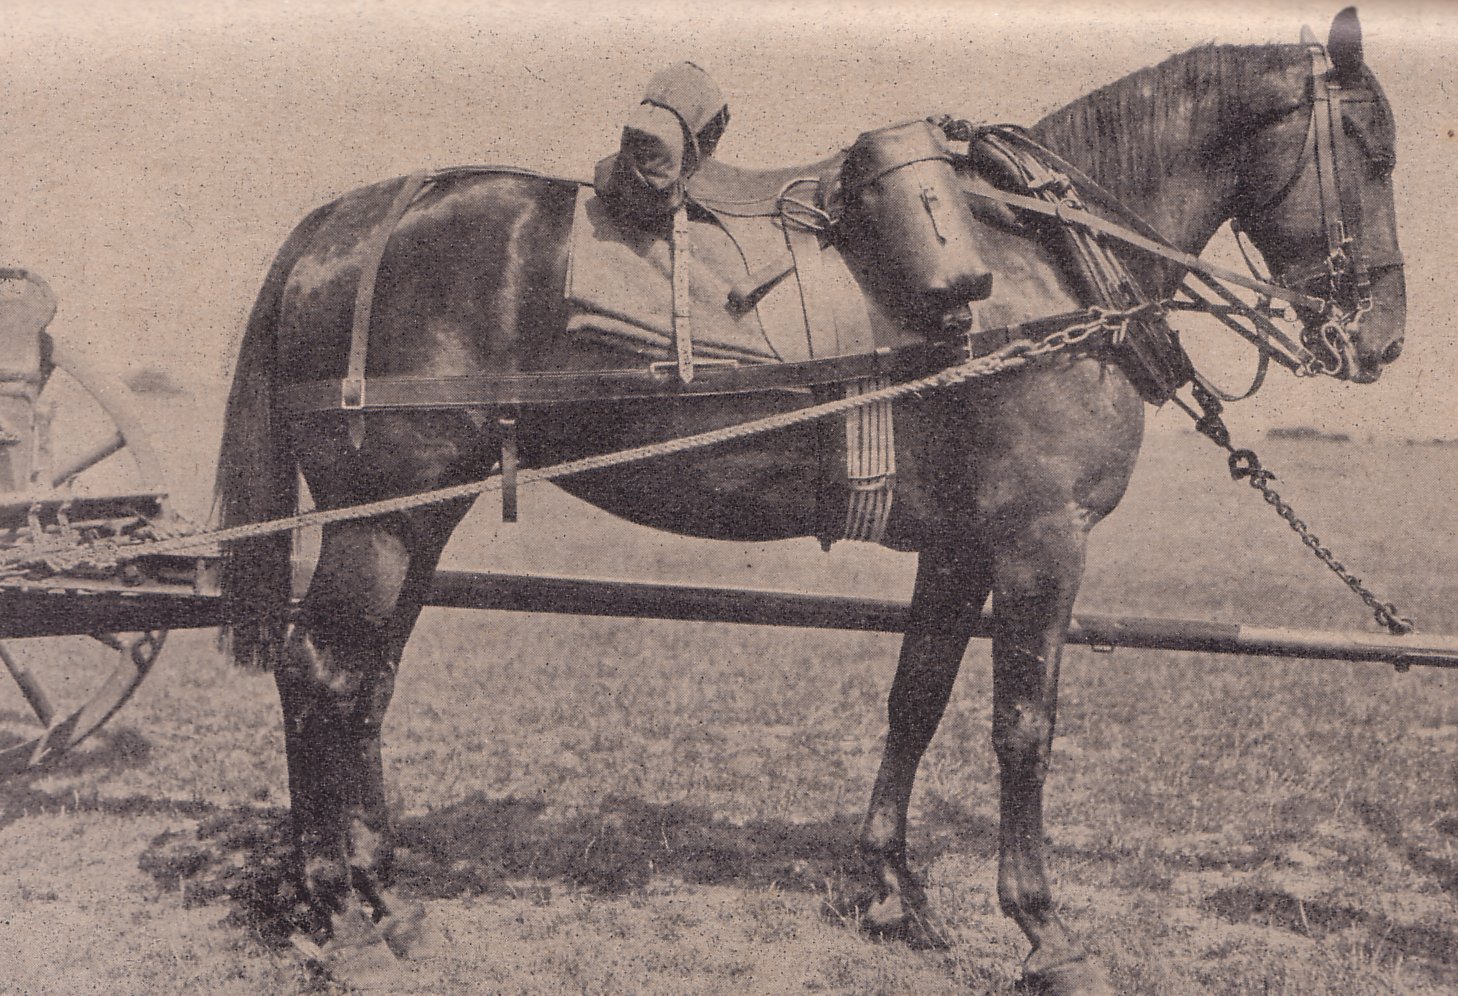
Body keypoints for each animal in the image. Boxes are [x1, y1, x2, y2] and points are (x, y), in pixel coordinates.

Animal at [212, 9, 1399, 996]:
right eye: (1375, 151)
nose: (1381, 337)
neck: (1045, 263)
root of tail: (345, 221)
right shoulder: (1039, 541)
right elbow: (1024, 725)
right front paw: (1040, 927)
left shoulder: (959, 546)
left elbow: (916, 699)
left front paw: (890, 892)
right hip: (380, 518)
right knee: (319, 673)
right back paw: (335, 907)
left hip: (421, 518)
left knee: (367, 683)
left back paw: (380, 892)